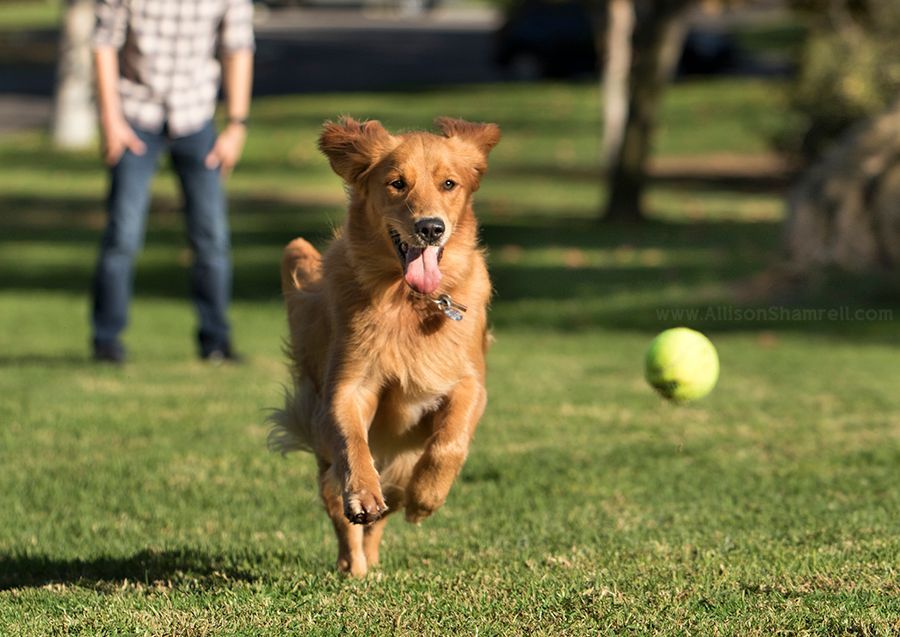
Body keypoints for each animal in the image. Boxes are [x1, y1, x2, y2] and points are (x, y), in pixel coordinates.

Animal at [270, 115, 502, 576]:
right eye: (397, 183)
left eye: (449, 183)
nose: (431, 228)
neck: (409, 300)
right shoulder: (348, 385)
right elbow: (354, 443)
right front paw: (363, 493)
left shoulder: (470, 382)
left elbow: (450, 443)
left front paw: (426, 499)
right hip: (327, 461)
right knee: (344, 514)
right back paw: (355, 566)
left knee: (387, 510)